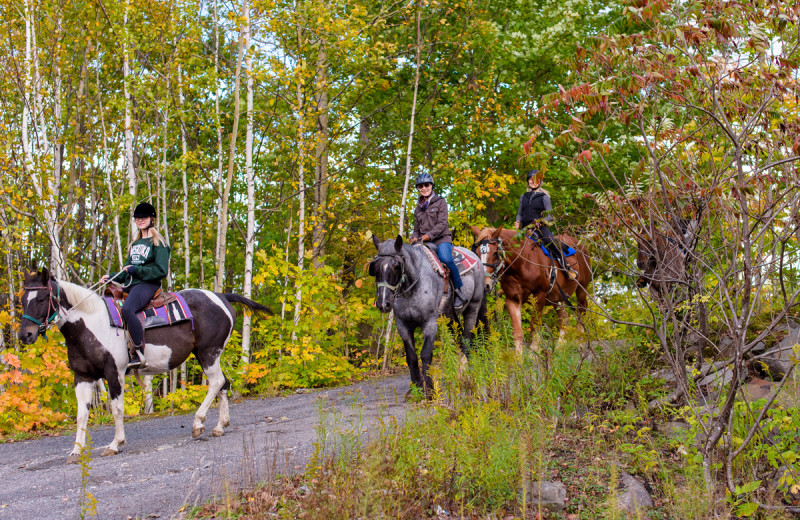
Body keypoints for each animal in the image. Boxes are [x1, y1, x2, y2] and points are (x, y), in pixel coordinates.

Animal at [15, 268, 270, 464]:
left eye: (41, 299)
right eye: (23, 301)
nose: (25, 335)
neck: (91, 324)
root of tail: (220, 296)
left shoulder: (114, 373)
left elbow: (117, 409)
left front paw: (115, 444)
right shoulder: (82, 377)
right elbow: (81, 414)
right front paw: (76, 450)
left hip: (209, 353)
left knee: (217, 382)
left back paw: (198, 423)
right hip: (208, 355)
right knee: (224, 384)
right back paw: (220, 426)